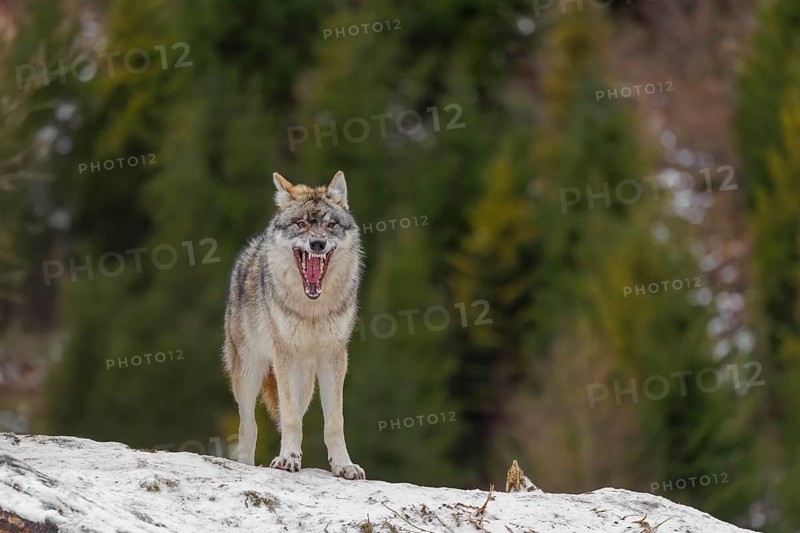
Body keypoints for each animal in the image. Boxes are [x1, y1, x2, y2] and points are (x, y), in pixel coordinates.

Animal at [223, 170, 365, 480]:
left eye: (331, 225)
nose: (317, 244)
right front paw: (287, 459)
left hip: (306, 382)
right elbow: (287, 416)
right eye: (300, 224)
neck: (311, 309)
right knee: (248, 426)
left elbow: (334, 421)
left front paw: (343, 465)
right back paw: (248, 464)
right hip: (249, 372)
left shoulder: (334, 356)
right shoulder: (283, 353)